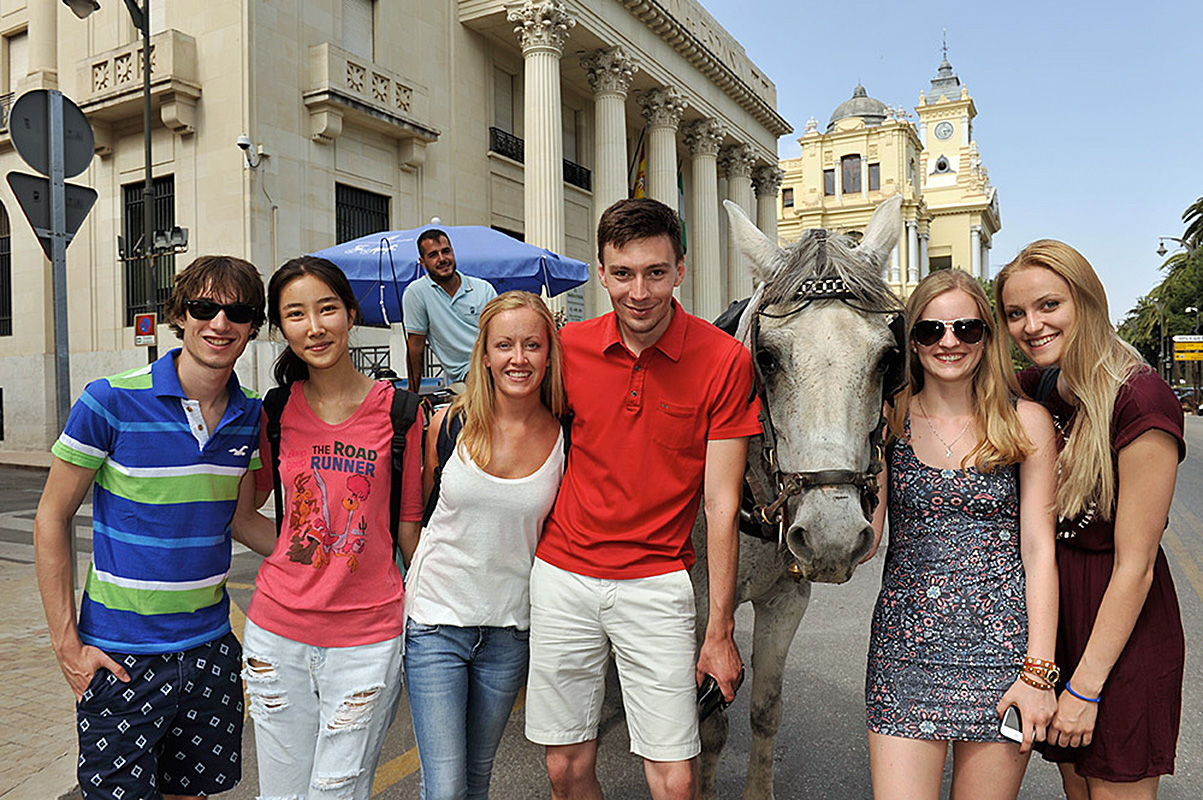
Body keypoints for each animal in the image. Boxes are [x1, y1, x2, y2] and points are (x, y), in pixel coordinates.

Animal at [690, 195, 906, 800]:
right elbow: (706, 721)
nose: (832, 538)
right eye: (765, 357)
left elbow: (765, 710)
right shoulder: (694, 605)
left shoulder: (786, 600)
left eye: (888, 358)